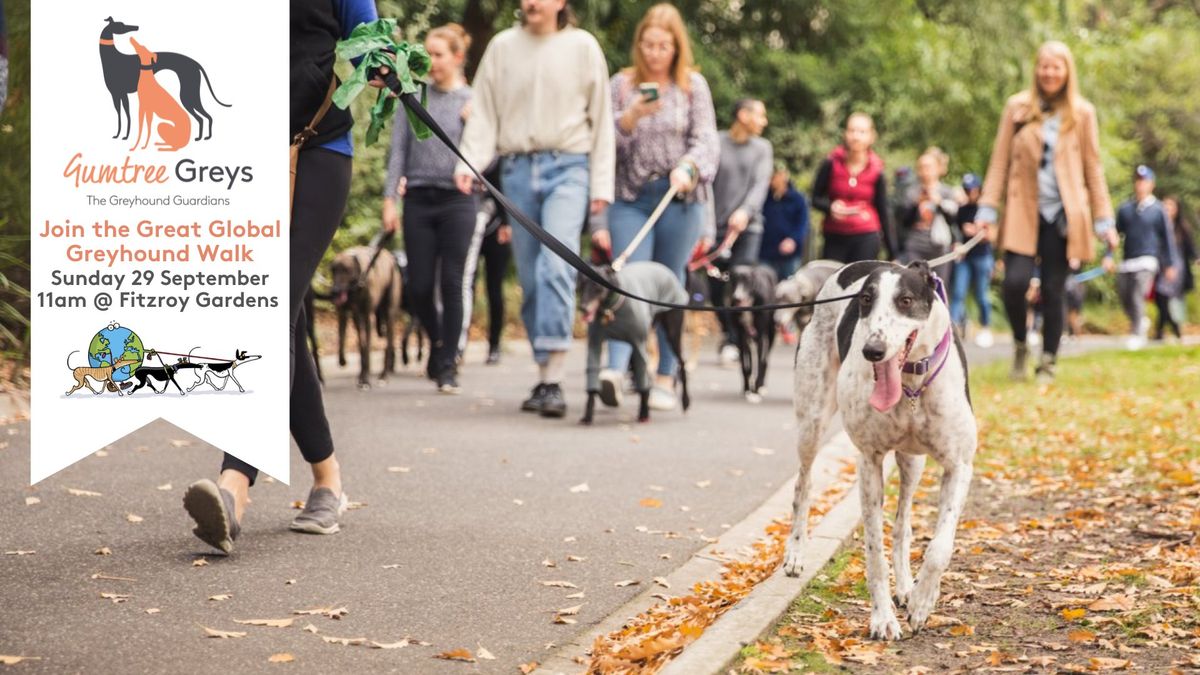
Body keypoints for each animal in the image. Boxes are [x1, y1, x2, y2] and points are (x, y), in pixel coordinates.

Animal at [578, 260, 691, 422]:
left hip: (672, 332)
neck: (611, 310)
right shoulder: (595, 344)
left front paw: (644, 413)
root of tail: (662, 267)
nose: (583, 308)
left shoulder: (639, 345)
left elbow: (643, 377)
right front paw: (587, 415)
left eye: (597, 287)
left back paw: (686, 401)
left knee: (681, 363)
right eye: (581, 285)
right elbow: (592, 375)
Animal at [729, 261, 777, 398]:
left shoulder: (761, 335)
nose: (737, 298)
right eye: (734, 280)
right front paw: (747, 387)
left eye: (747, 281)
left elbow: (760, 363)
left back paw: (761, 386)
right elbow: (746, 365)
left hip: (771, 333)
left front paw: (756, 387)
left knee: (766, 360)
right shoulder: (741, 336)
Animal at [787, 260, 974, 638]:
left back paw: (906, 588)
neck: (912, 383)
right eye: (866, 301)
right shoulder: (869, 461)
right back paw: (796, 551)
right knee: (803, 484)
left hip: (913, 462)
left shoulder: (960, 464)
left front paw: (922, 601)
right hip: (812, 419)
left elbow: (939, 548)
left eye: (905, 300)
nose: (872, 350)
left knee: (903, 526)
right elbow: (874, 552)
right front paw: (882, 619)